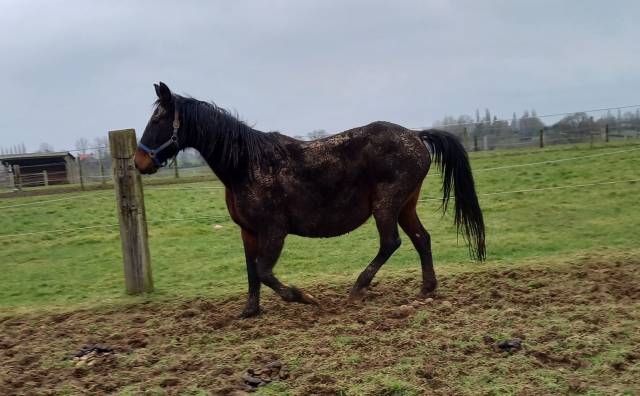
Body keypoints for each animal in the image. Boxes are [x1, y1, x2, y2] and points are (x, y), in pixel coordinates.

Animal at [135, 82, 484, 318]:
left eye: (157, 120)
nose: (140, 162)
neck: (247, 165)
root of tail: (416, 135)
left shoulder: (274, 230)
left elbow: (264, 271)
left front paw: (303, 296)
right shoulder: (248, 231)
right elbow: (251, 270)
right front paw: (250, 311)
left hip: (386, 206)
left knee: (391, 243)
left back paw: (357, 290)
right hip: (404, 206)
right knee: (421, 238)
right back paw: (425, 289)